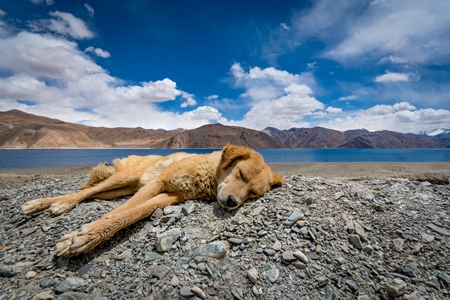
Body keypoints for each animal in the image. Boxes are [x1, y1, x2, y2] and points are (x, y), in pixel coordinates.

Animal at [20, 144, 284, 256]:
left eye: (252, 194)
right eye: (241, 174)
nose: (231, 202)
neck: (206, 174)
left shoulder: (169, 195)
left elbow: (133, 213)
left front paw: (88, 234)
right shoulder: (158, 183)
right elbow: (122, 213)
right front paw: (87, 236)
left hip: (119, 190)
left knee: (92, 193)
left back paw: (51, 203)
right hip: (124, 178)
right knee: (83, 192)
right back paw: (48, 204)